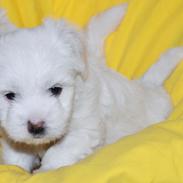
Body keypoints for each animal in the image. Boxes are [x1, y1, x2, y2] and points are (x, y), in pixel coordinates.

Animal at [0, 4, 183, 173]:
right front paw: (16, 168)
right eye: (10, 95)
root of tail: (149, 84)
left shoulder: (85, 128)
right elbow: (17, 153)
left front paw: (45, 171)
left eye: (56, 90)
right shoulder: (13, 134)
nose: (36, 126)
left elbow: (59, 151)